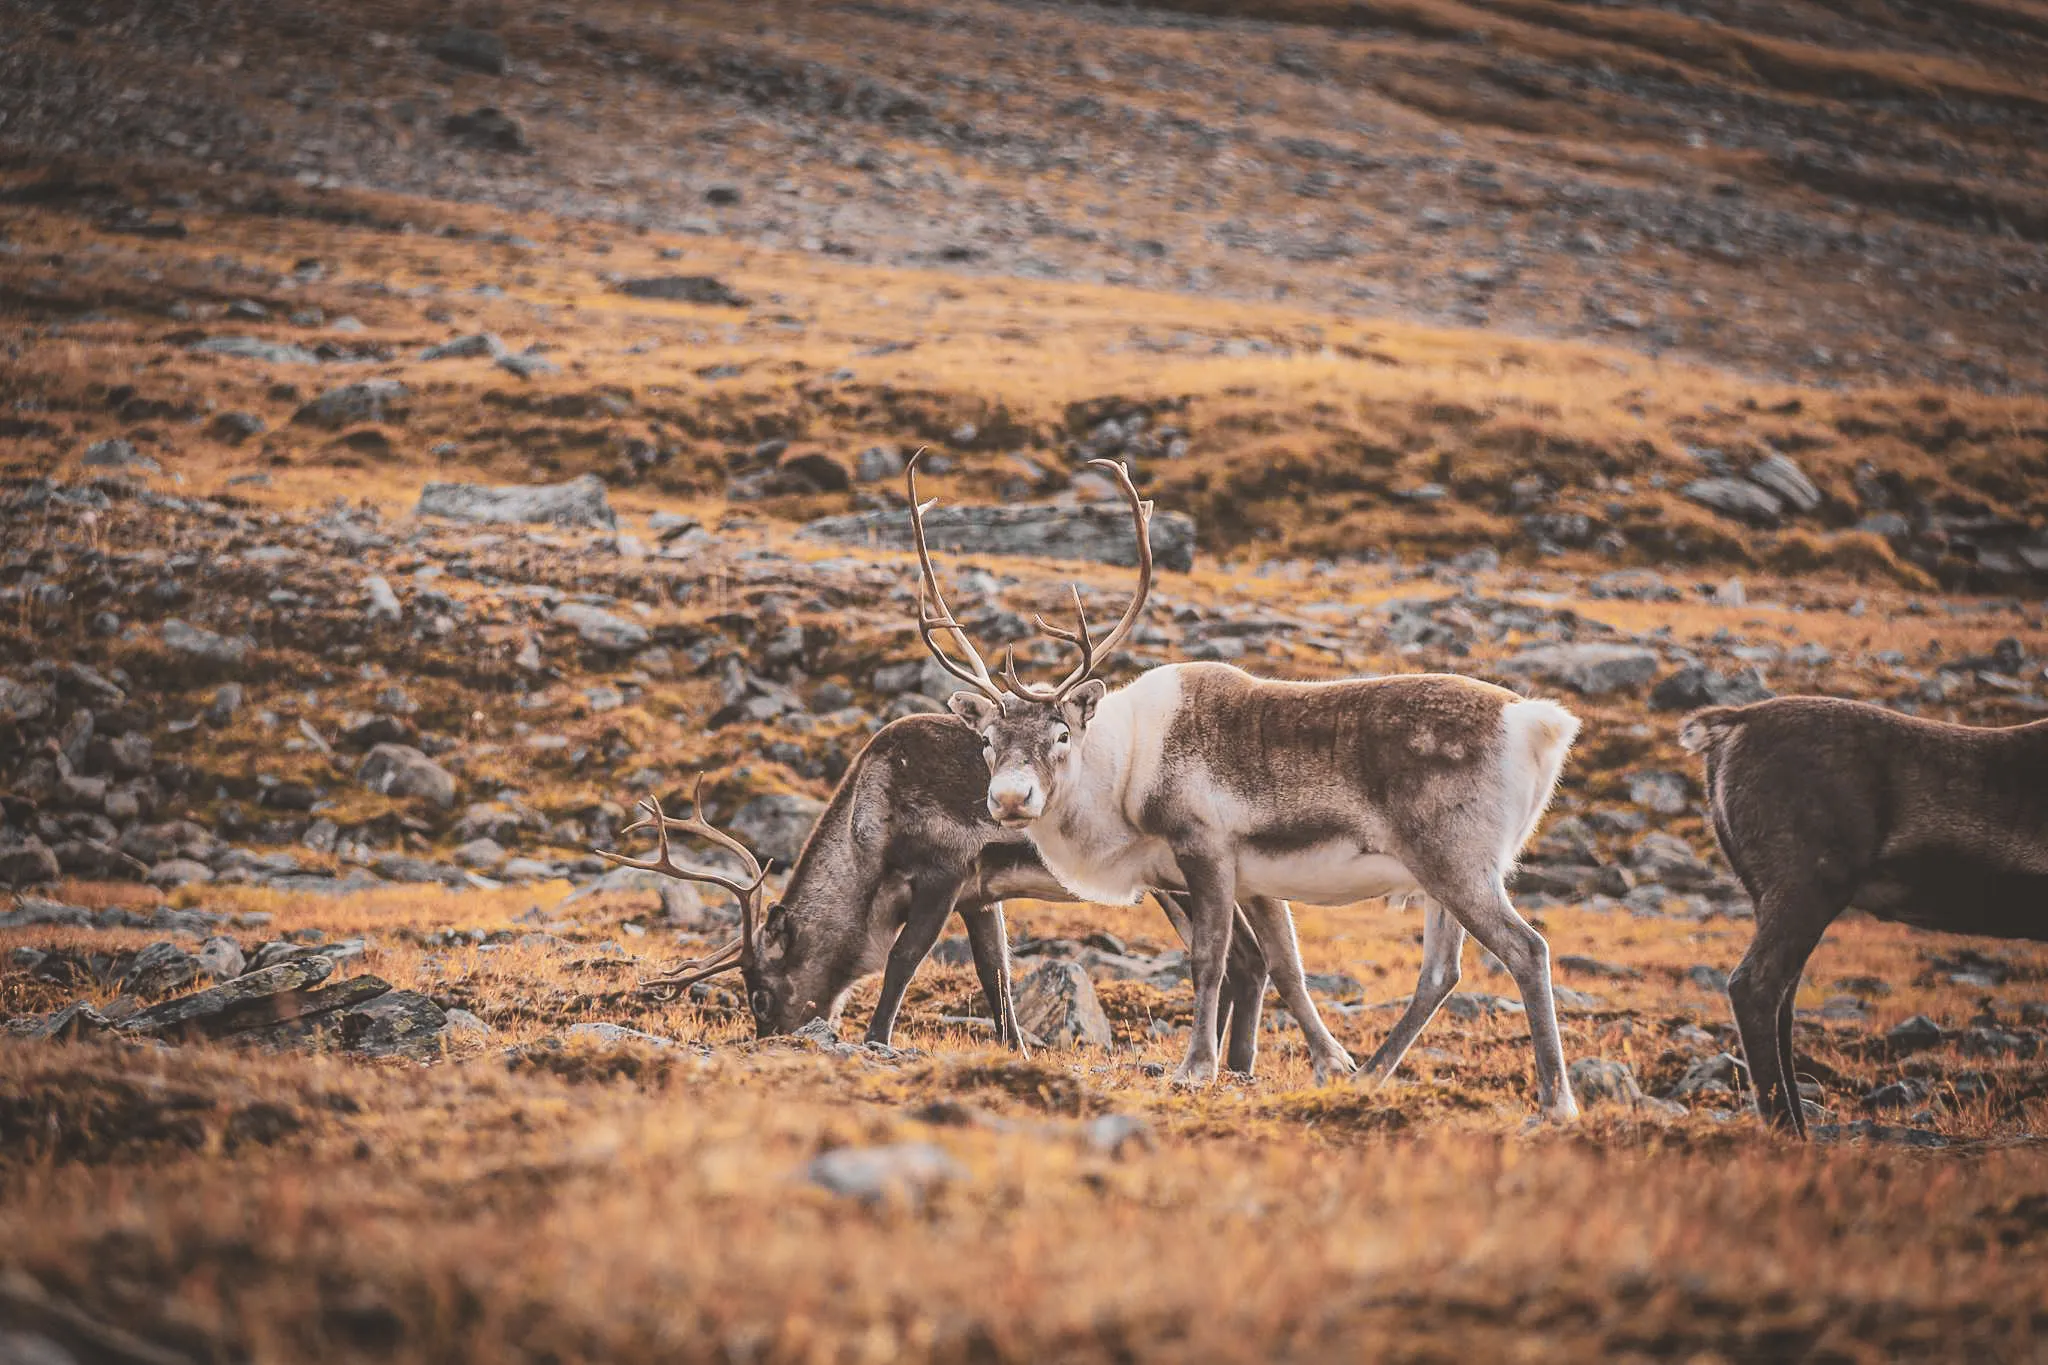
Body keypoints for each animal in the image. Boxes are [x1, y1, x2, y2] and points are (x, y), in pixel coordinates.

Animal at [592, 735, 1281, 1070]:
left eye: (760, 994)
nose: (772, 1041)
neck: (871, 831)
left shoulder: (944, 873)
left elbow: (903, 960)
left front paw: (875, 1039)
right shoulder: (979, 895)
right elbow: (995, 975)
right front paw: (1017, 1051)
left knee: (1243, 955)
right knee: (1247, 956)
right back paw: (1227, 1059)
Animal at [908, 452, 1585, 1117]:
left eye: (1061, 734)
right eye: (987, 739)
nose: (1010, 798)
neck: (1126, 770)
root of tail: (1536, 722)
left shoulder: (1205, 850)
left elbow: (1209, 960)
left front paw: (1195, 1067)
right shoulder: (1257, 881)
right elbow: (1286, 968)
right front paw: (1330, 1064)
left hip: (1457, 862)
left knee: (1527, 950)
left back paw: (1555, 1101)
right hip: (1439, 874)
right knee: (1441, 973)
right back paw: (1371, 1076)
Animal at [1681, 696, 2048, 1136]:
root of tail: (1733, 722)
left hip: (1768, 894)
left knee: (1783, 999)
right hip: (1809, 885)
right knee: (1756, 985)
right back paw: (1787, 1131)